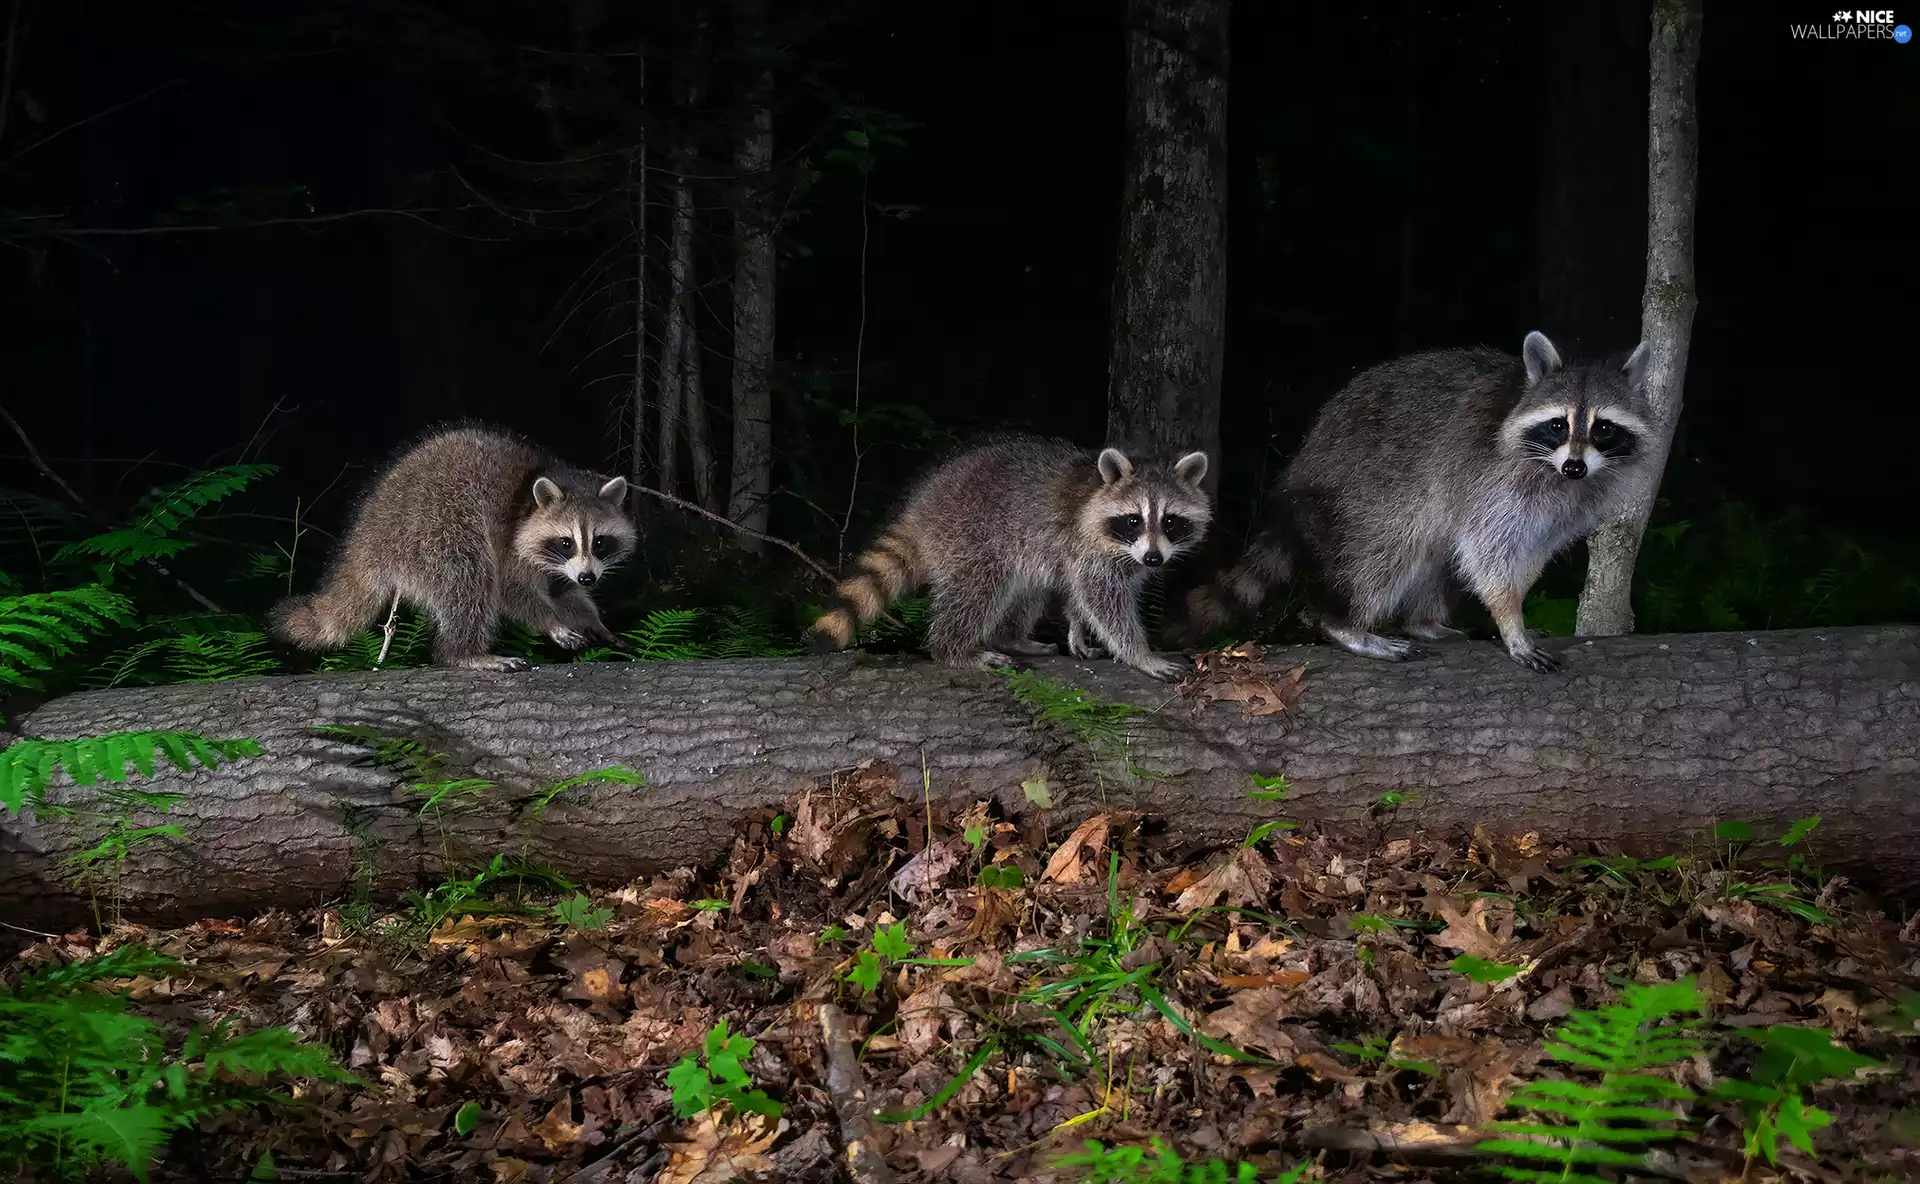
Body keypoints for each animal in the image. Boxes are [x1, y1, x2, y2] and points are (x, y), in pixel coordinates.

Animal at [271, 425, 637, 671]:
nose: (589, 578)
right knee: (469, 577)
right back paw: (465, 652)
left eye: (600, 542)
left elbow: (565, 592)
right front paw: (550, 622)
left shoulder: (561, 567)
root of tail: (366, 533)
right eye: (566, 542)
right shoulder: (510, 542)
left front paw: (593, 621)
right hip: (434, 529)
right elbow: (511, 590)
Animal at [806, 434, 1212, 680]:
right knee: (978, 592)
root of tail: (922, 505)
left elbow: (1077, 594)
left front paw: (1077, 631)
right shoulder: (1086, 546)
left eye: (1171, 521)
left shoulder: (1093, 554)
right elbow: (1102, 599)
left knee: (1028, 589)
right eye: (1133, 520)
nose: (1155, 560)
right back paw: (954, 650)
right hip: (970, 536)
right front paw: (1140, 654)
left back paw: (1011, 637)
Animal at [1179, 331, 1656, 672]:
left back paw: (1424, 621)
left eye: (1603, 428)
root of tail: (1301, 469)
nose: (1574, 467)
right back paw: (1346, 624)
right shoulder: (1490, 480)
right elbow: (1488, 553)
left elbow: (1529, 553)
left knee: (1437, 554)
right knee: (1387, 553)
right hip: (1368, 491)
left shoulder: (1567, 505)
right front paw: (1509, 619)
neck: (1556, 472)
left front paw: (1514, 606)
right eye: (1558, 424)